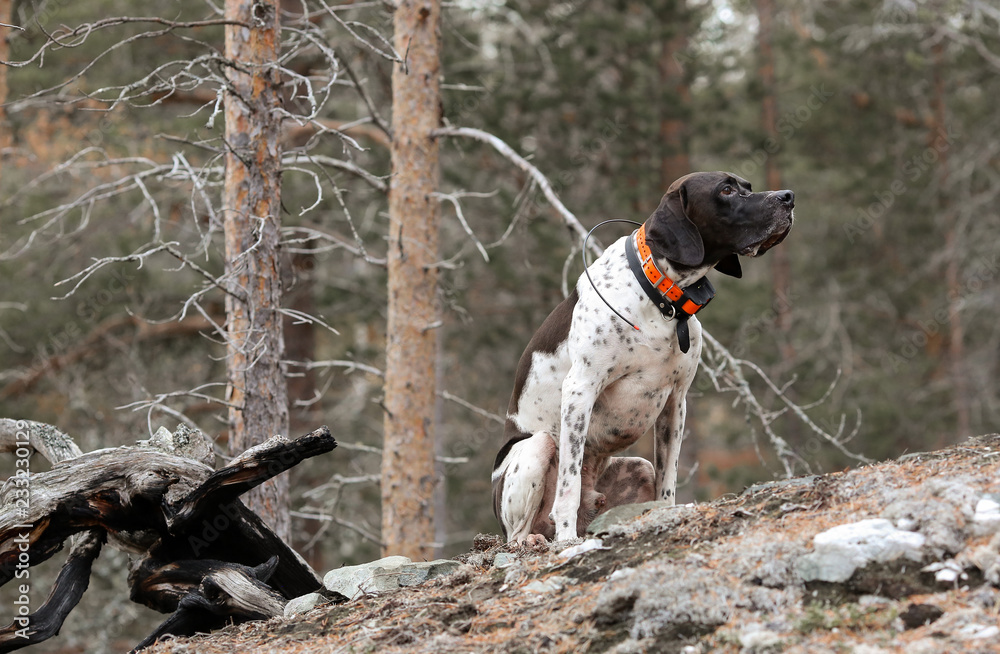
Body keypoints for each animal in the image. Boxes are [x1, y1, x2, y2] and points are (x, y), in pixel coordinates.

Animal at [492, 170, 796, 544]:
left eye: (748, 187)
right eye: (725, 190)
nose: (788, 197)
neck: (661, 294)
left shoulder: (675, 403)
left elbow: (668, 479)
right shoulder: (580, 390)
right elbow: (568, 484)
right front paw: (566, 538)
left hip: (638, 467)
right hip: (538, 447)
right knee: (520, 529)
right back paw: (537, 537)